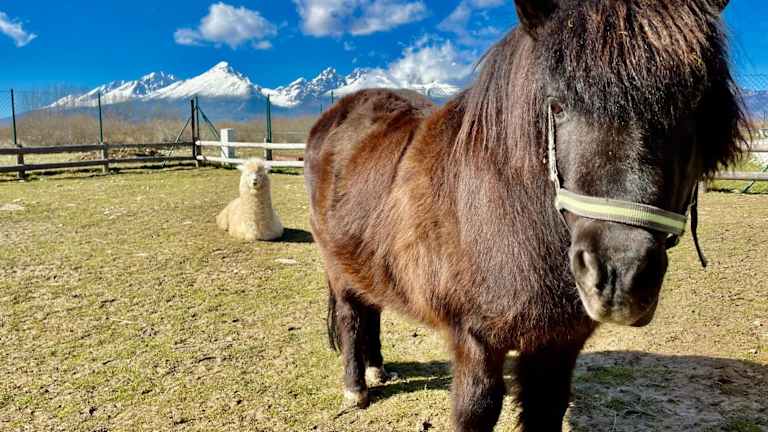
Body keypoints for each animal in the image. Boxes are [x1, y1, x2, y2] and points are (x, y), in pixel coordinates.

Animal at [304, 0, 746, 430]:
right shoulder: (475, 340)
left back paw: (377, 368)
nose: (620, 277)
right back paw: (356, 388)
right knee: (350, 315)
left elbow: (545, 409)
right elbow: (477, 410)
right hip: (336, 266)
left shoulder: (559, 345)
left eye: (694, 108)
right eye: (558, 106)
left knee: (371, 304)